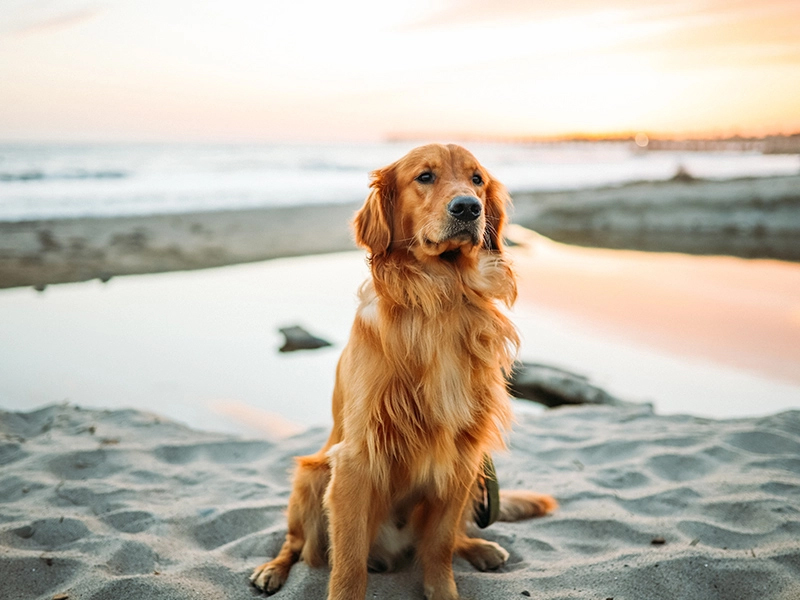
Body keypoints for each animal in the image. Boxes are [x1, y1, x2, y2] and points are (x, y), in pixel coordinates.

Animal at [250, 144, 556, 600]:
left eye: (478, 179)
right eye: (425, 177)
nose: (469, 207)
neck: (443, 295)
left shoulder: (463, 455)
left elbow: (440, 545)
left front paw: (443, 590)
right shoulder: (356, 459)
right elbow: (348, 564)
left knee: (451, 537)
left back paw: (480, 547)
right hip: (311, 477)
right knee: (295, 544)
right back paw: (272, 569)